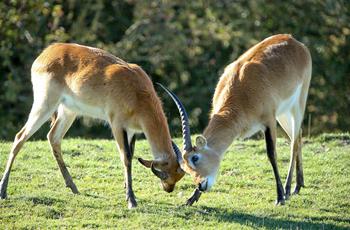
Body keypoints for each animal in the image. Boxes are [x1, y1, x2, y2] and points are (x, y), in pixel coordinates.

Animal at [0, 42, 185, 208]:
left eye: (179, 174)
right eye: (167, 174)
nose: (169, 189)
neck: (138, 93)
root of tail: (48, 52)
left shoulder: (132, 131)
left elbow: (131, 156)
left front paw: (127, 189)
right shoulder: (117, 125)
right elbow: (125, 157)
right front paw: (131, 200)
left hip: (69, 111)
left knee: (53, 137)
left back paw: (73, 187)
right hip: (45, 104)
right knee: (20, 137)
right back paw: (3, 190)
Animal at [163, 34, 314, 205]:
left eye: (195, 157)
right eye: (185, 167)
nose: (201, 185)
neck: (242, 90)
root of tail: (293, 40)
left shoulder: (268, 121)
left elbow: (271, 154)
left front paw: (279, 197)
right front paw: (192, 198)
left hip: (297, 104)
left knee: (294, 141)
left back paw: (288, 190)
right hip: (284, 113)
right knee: (298, 135)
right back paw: (298, 186)